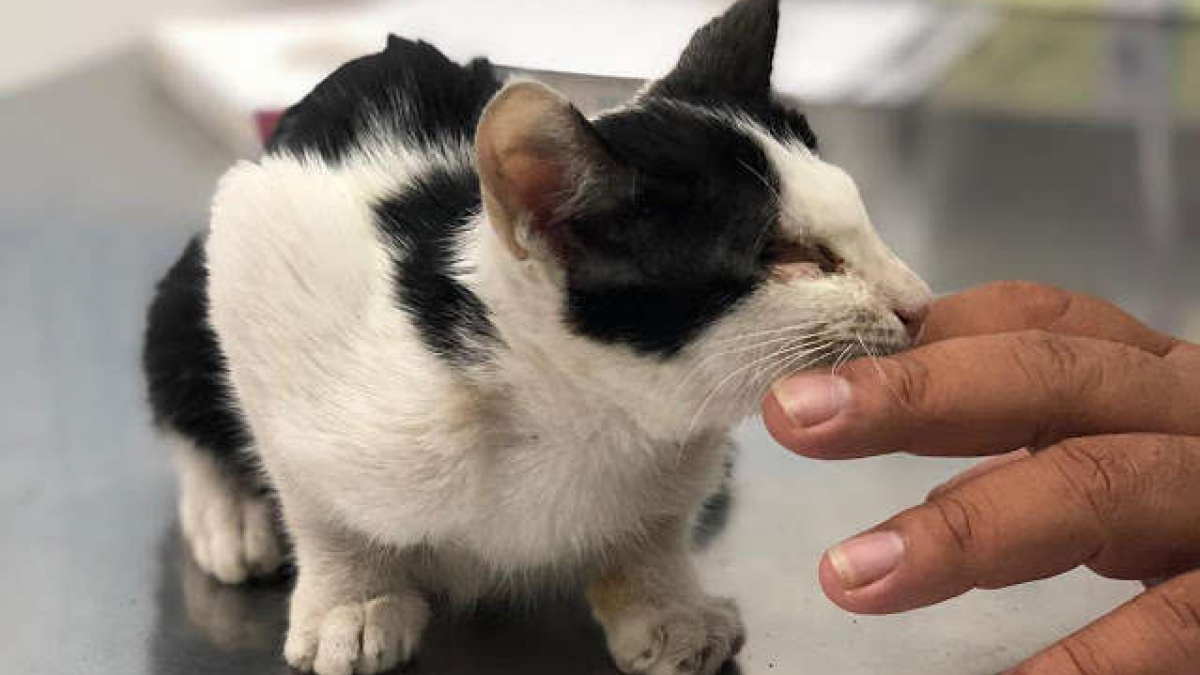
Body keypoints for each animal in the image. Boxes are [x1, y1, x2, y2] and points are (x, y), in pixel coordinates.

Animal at [140, 1, 926, 672]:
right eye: (789, 255)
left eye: (859, 218)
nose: (919, 303)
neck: (588, 420)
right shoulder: (264, 266)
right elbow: (315, 498)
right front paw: (352, 598)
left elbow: (660, 521)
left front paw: (665, 603)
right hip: (191, 282)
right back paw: (230, 515)